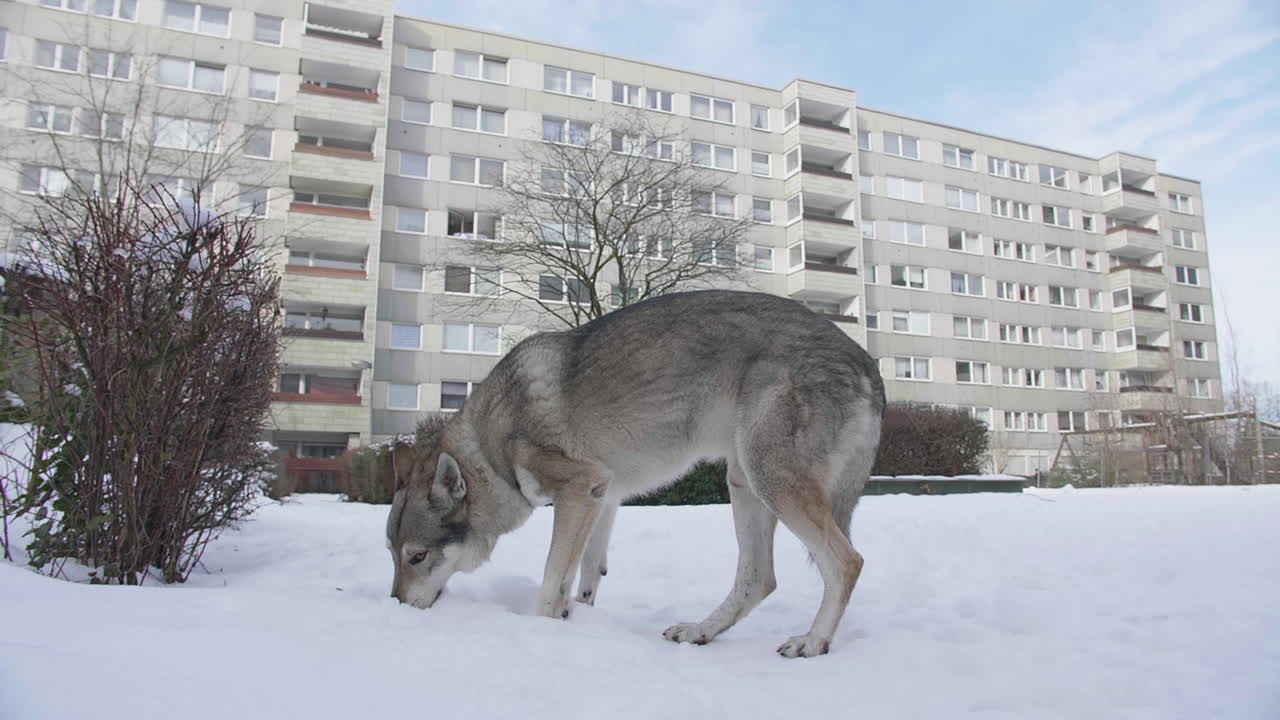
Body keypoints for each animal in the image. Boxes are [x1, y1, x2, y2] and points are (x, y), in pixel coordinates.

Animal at [384, 289, 885, 657]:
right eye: (391, 554)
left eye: (417, 557)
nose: (394, 609)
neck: (492, 447)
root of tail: (865, 358)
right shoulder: (602, 497)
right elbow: (584, 575)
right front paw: (574, 616)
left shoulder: (579, 489)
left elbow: (551, 575)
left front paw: (543, 630)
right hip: (743, 483)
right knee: (760, 578)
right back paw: (700, 631)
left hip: (771, 481)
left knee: (848, 562)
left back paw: (813, 642)